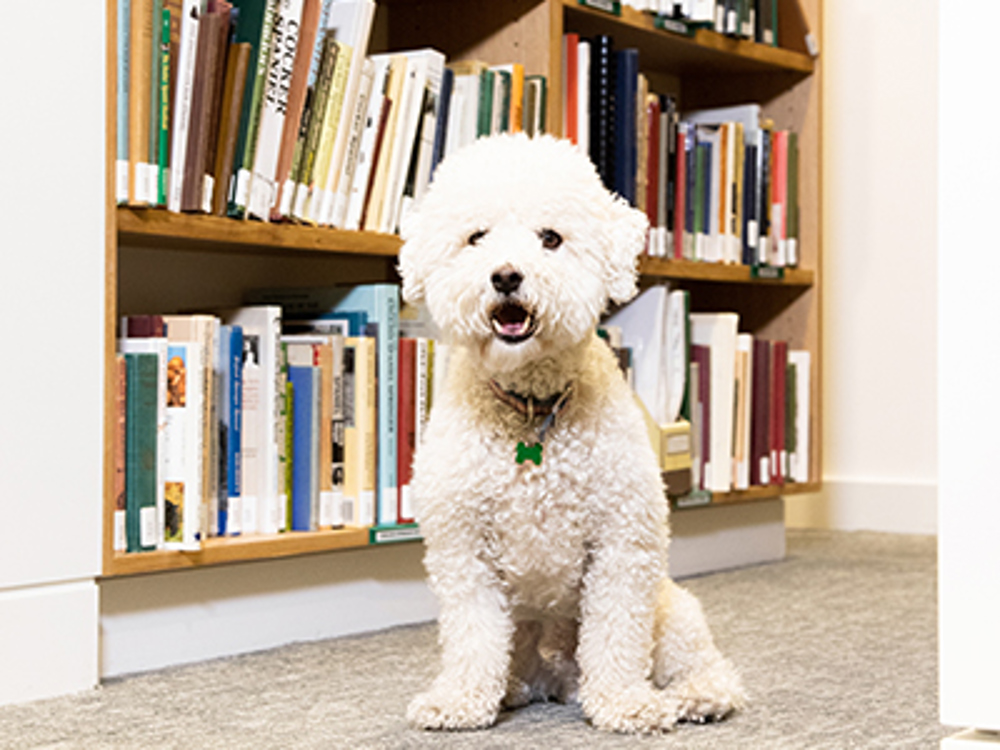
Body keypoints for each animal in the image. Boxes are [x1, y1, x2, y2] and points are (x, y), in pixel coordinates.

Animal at [398, 132, 744, 732]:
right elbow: (472, 635)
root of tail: (556, 678)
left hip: (671, 606)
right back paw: (515, 689)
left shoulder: (622, 543)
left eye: (551, 238)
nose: (506, 275)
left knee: (701, 661)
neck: (532, 408)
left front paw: (624, 702)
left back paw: (698, 695)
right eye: (476, 237)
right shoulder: (464, 549)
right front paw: (461, 700)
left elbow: (616, 632)